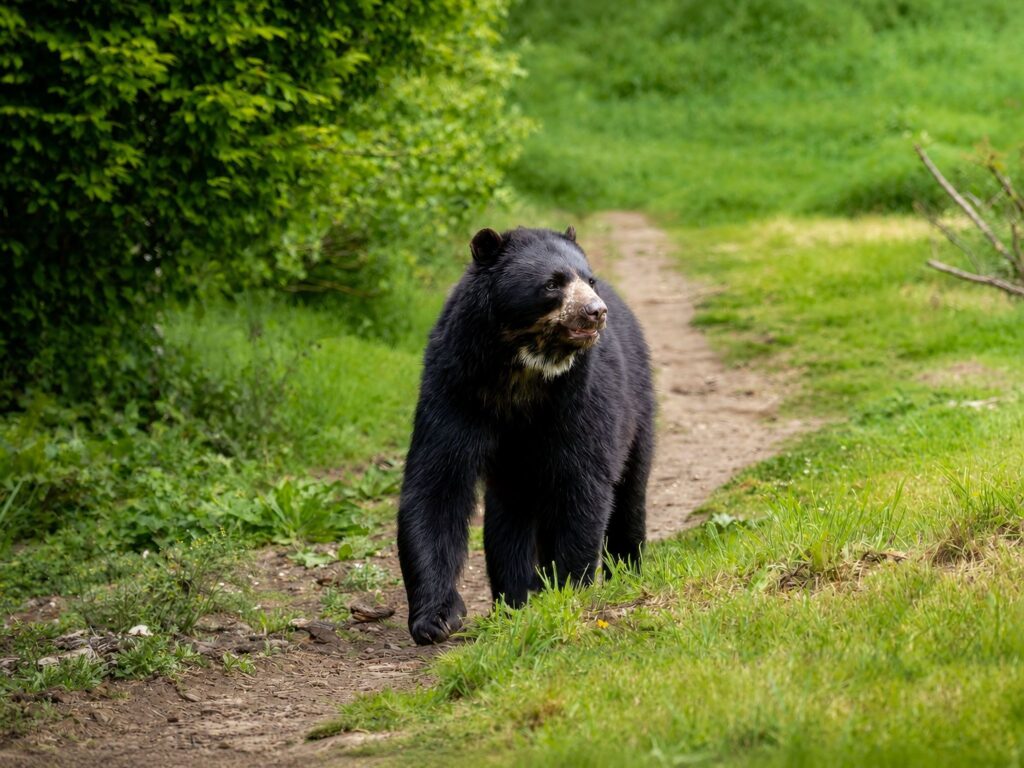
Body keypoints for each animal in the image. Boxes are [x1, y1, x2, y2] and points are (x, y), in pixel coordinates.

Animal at [397, 225, 655, 645]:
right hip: (515, 470)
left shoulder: (583, 396)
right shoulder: (455, 388)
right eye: (552, 283)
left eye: (589, 280)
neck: (523, 370)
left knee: (631, 491)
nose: (595, 311)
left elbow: (584, 483)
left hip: (639, 406)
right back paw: (513, 599)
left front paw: (569, 589)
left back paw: (626, 571)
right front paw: (436, 619)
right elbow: (437, 484)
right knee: (508, 519)